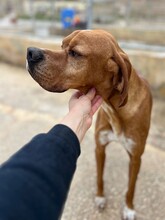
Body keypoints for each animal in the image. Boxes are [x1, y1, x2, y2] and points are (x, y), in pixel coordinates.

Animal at [27, 29, 152, 220]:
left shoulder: (136, 156)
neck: (115, 109)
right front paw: (100, 197)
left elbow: (131, 187)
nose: (30, 52)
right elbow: (99, 176)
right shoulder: (99, 147)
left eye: (75, 53)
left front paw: (129, 208)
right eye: (62, 45)